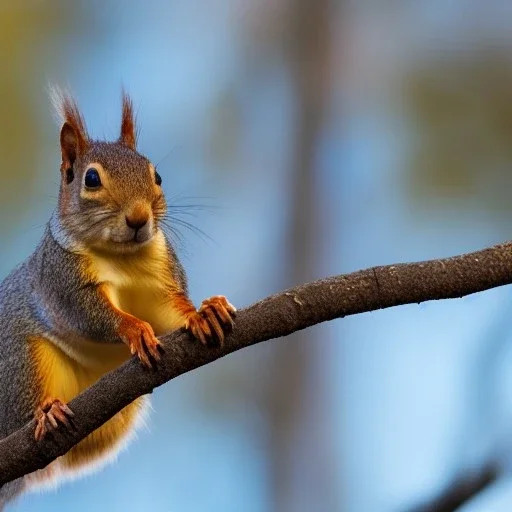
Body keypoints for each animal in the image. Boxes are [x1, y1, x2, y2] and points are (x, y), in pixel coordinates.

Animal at [0, 92, 236, 508]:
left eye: (157, 176)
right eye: (91, 179)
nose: (139, 218)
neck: (122, 256)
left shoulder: (160, 278)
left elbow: (169, 311)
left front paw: (204, 313)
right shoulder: (63, 278)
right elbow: (91, 314)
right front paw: (134, 329)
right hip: (20, 364)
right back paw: (46, 413)